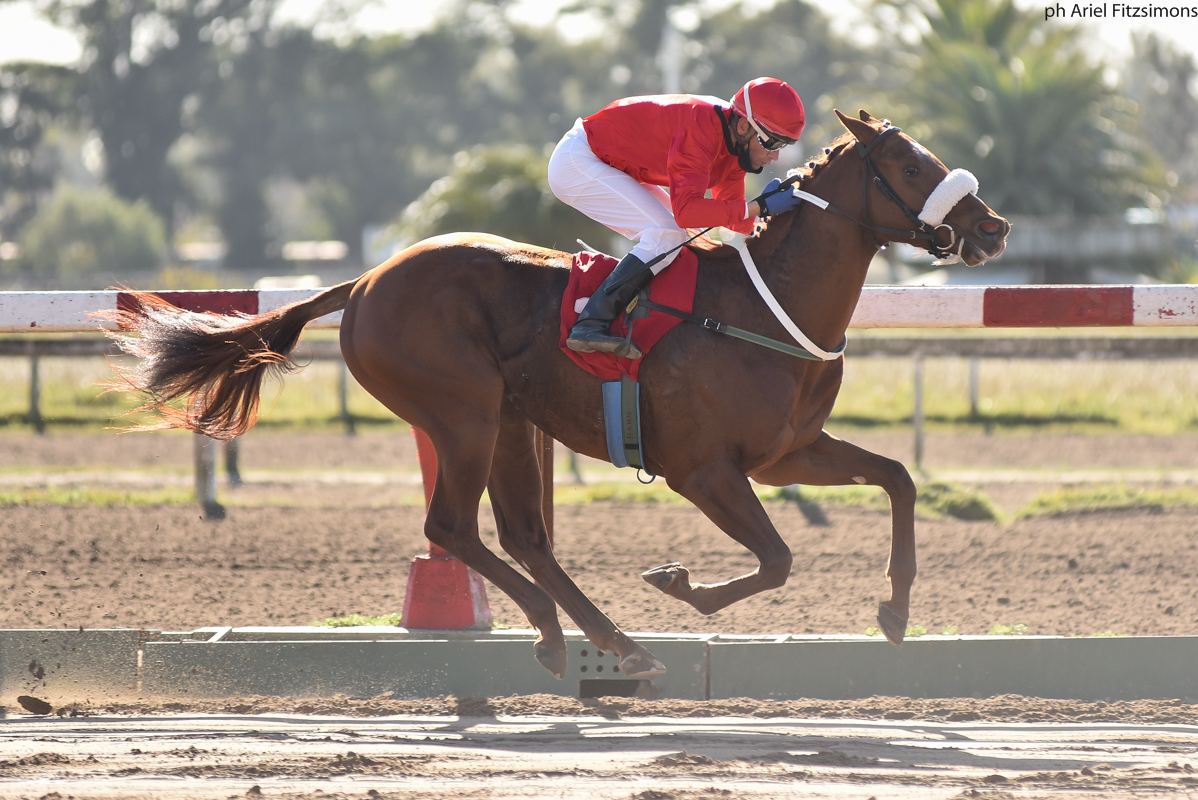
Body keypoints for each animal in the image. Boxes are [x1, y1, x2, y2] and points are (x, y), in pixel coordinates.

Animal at [105, 110, 1009, 680]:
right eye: (911, 165)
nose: (992, 226)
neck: (764, 303)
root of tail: (363, 280)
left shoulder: (788, 453)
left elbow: (897, 478)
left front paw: (894, 611)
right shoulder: (705, 470)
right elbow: (778, 558)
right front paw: (680, 583)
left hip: (508, 417)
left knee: (523, 535)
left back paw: (606, 641)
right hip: (463, 412)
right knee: (454, 527)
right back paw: (566, 633)